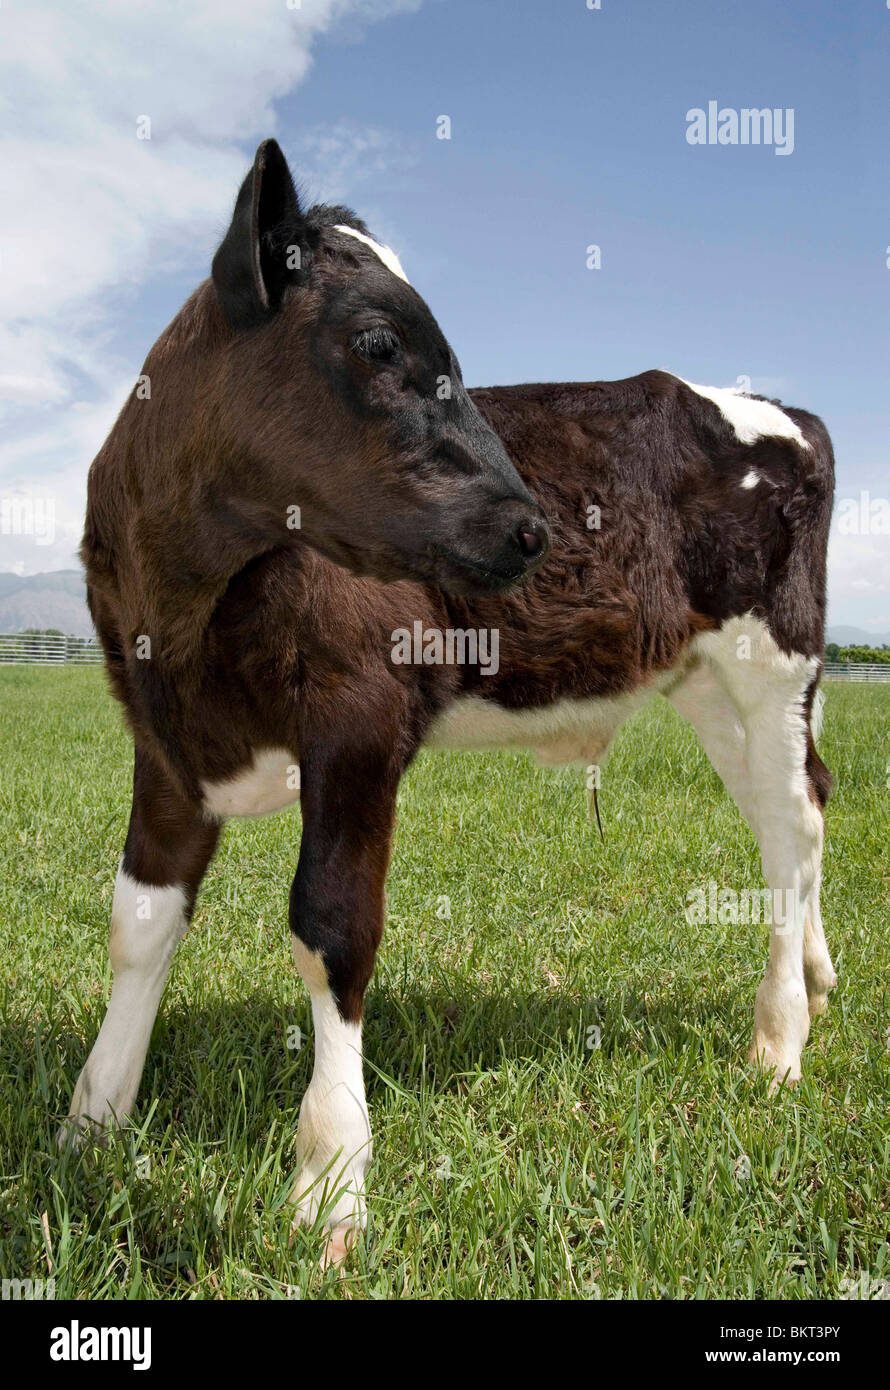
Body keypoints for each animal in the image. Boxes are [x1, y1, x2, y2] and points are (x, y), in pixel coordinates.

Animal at [64, 143, 834, 1273]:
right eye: (378, 342)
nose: (531, 527)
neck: (190, 595)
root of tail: (774, 406)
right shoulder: (162, 739)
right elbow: (138, 923)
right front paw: (93, 1117)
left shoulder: (358, 717)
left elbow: (332, 927)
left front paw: (329, 1186)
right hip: (709, 683)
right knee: (795, 814)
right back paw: (815, 981)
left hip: (771, 659)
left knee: (788, 827)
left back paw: (777, 1042)